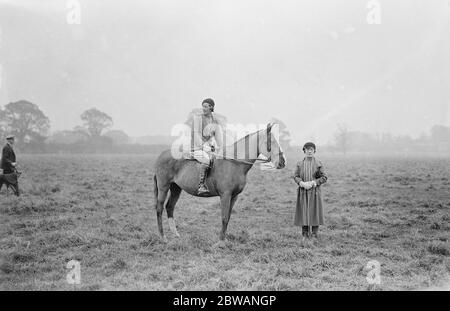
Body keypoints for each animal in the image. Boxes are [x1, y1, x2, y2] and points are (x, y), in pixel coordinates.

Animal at [153, 123, 286, 243]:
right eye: (271, 142)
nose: (282, 162)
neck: (234, 164)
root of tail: (161, 155)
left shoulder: (234, 196)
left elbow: (228, 217)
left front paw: (224, 238)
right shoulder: (225, 195)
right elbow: (224, 217)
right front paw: (221, 241)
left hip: (176, 188)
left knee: (170, 207)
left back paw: (175, 234)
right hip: (164, 187)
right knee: (159, 208)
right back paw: (162, 237)